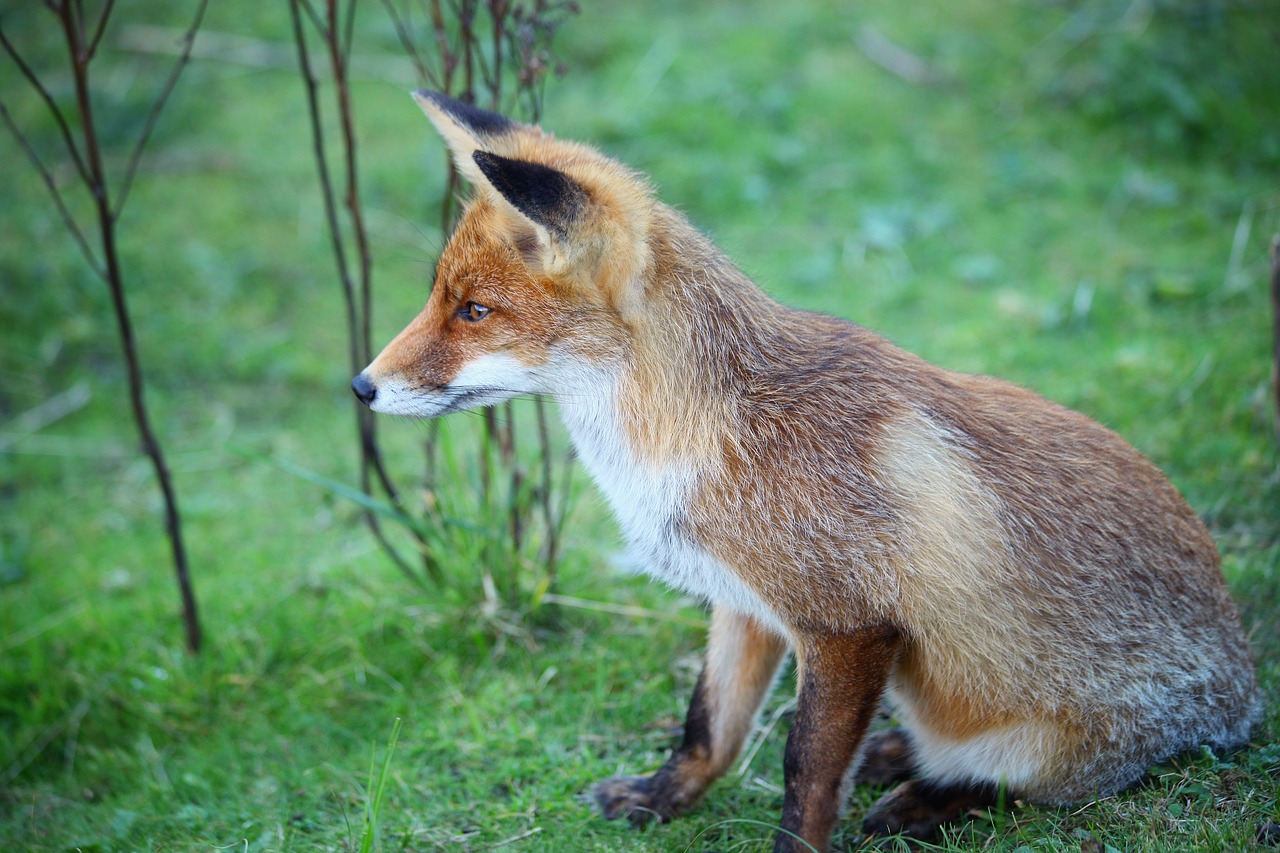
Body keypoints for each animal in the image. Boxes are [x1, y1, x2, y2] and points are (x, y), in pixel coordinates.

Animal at [352, 91, 1262, 851]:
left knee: (1014, 785)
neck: (709, 430)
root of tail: (1242, 691)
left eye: (475, 311)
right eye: (439, 297)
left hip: (1050, 743)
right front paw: (661, 798)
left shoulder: (848, 625)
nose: (361, 386)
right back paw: (900, 753)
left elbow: (806, 768)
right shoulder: (742, 600)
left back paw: (925, 797)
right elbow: (707, 726)